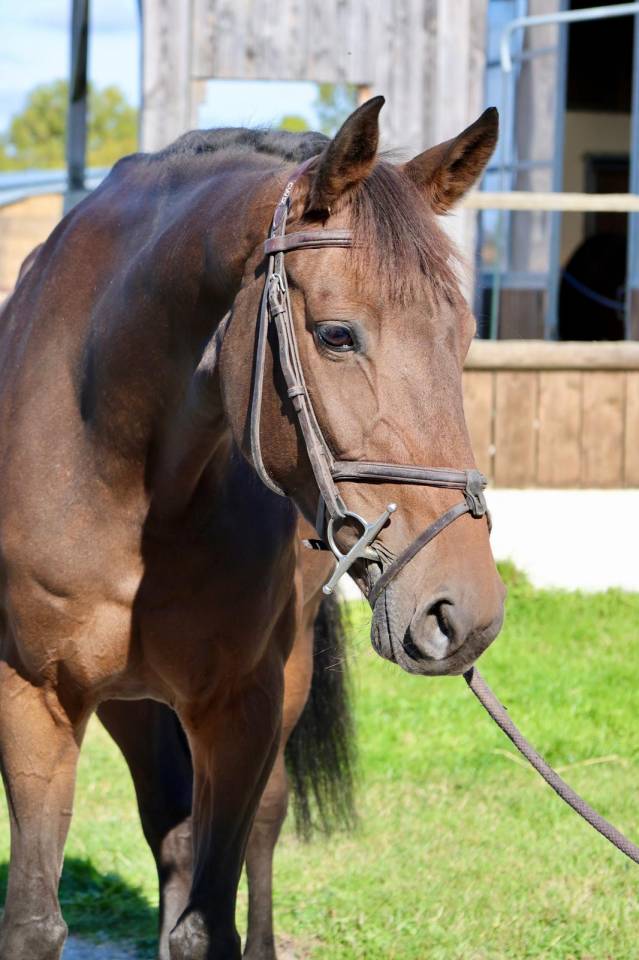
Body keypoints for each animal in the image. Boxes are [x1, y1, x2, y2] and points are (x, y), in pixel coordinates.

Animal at [0, 96, 505, 959]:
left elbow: (211, 924)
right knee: (171, 831)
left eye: (464, 334)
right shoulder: (32, 696)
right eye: (336, 335)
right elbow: (35, 920)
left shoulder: (242, 707)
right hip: (133, 701)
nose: (463, 611)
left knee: (262, 824)